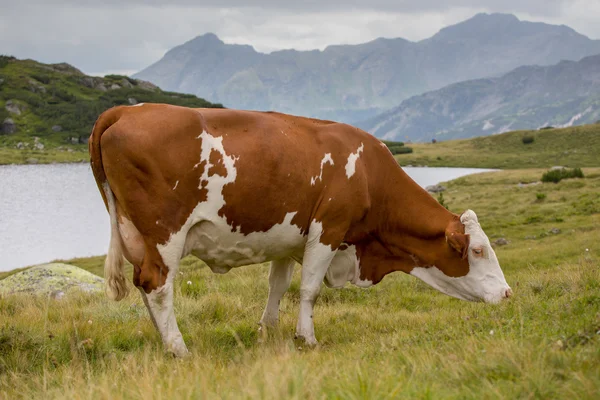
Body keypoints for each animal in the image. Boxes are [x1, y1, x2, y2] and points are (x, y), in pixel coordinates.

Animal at [89, 103, 510, 356]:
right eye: (478, 250)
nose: (507, 293)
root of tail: (127, 109)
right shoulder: (329, 229)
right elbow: (309, 289)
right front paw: (306, 337)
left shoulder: (289, 239)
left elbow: (277, 286)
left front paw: (267, 331)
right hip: (165, 233)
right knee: (158, 285)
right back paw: (178, 348)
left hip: (138, 236)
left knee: (145, 287)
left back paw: (164, 342)